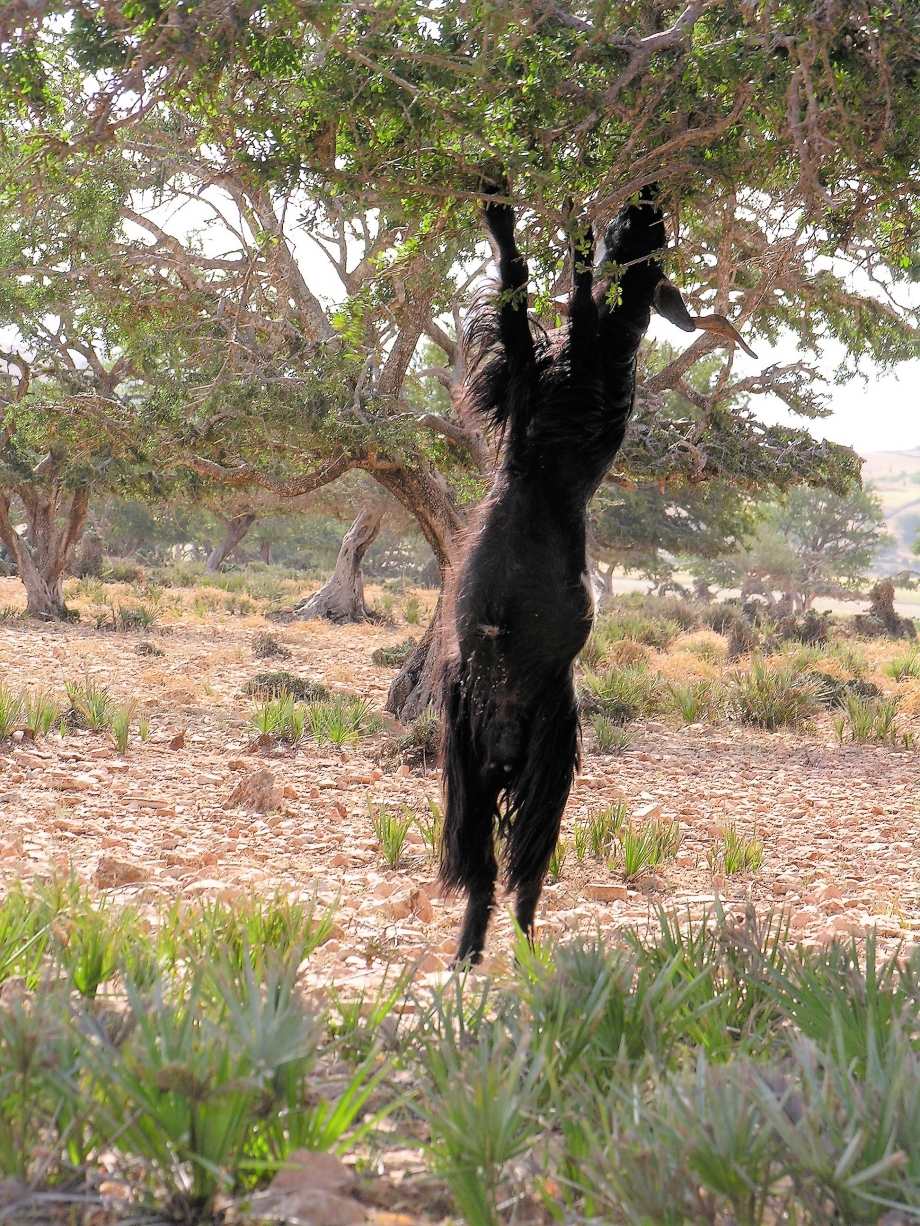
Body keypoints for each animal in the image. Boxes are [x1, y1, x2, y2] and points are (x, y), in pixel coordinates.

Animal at [439, 183, 755, 966]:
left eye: (653, 238)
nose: (649, 197)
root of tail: (504, 732)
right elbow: (539, 299)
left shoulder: (531, 384)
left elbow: (524, 291)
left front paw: (507, 208)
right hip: (468, 765)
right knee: (487, 874)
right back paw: (469, 957)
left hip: (544, 764)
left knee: (519, 875)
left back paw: (520, 957)